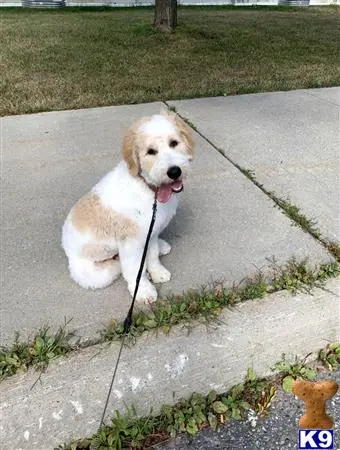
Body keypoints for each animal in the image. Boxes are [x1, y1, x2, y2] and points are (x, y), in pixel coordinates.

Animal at [61, 110, 194, 304]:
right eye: (151, 152)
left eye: (174, 143)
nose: (174, 171)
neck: (147, 187)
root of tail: (65, 247)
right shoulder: (132, 242)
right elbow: (134, 268)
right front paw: (143, 290)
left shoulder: (150, 231)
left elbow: (152, 254)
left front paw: (157, 272)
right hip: (93, 275)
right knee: (114, 267)